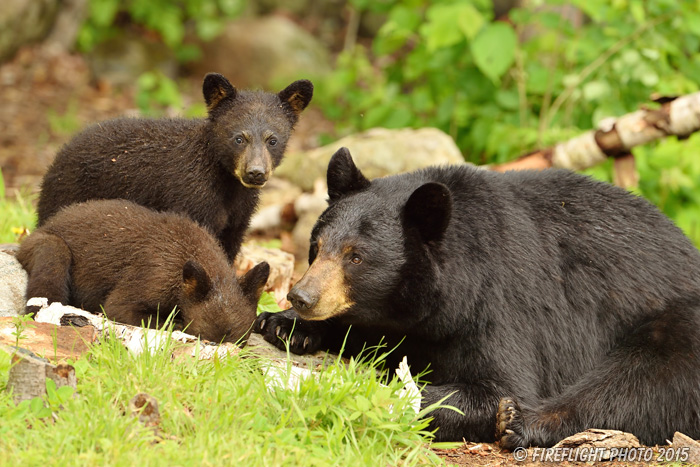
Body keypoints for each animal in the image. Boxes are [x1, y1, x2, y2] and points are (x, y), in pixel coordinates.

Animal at [35, 73, 314, 264]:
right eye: (238, 138)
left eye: (272, 140)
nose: (255, 173)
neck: (227, 185)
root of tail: (59, 153)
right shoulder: (191, 199)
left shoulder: (239, 216)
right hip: (65, 193)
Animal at [256, 148, 700, 448]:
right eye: (317, 246)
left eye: (356, 256)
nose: (301, 296)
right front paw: (281, 323)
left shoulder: (500, 302)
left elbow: (498, 383)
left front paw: (374, 392)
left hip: (677, 321)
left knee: (641, 380)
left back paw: (520, 422)